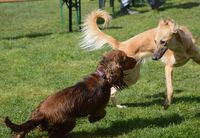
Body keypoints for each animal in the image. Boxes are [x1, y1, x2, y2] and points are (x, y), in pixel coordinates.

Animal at [4, 50, 137, 137]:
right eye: (125, 58)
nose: (136, 59)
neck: (102, 75)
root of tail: (41, 113)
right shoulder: (99, 107)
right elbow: (102, 113)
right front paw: (92, 119)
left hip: (33, 118)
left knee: (21, 131)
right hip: (70, 122)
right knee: (53, 135)